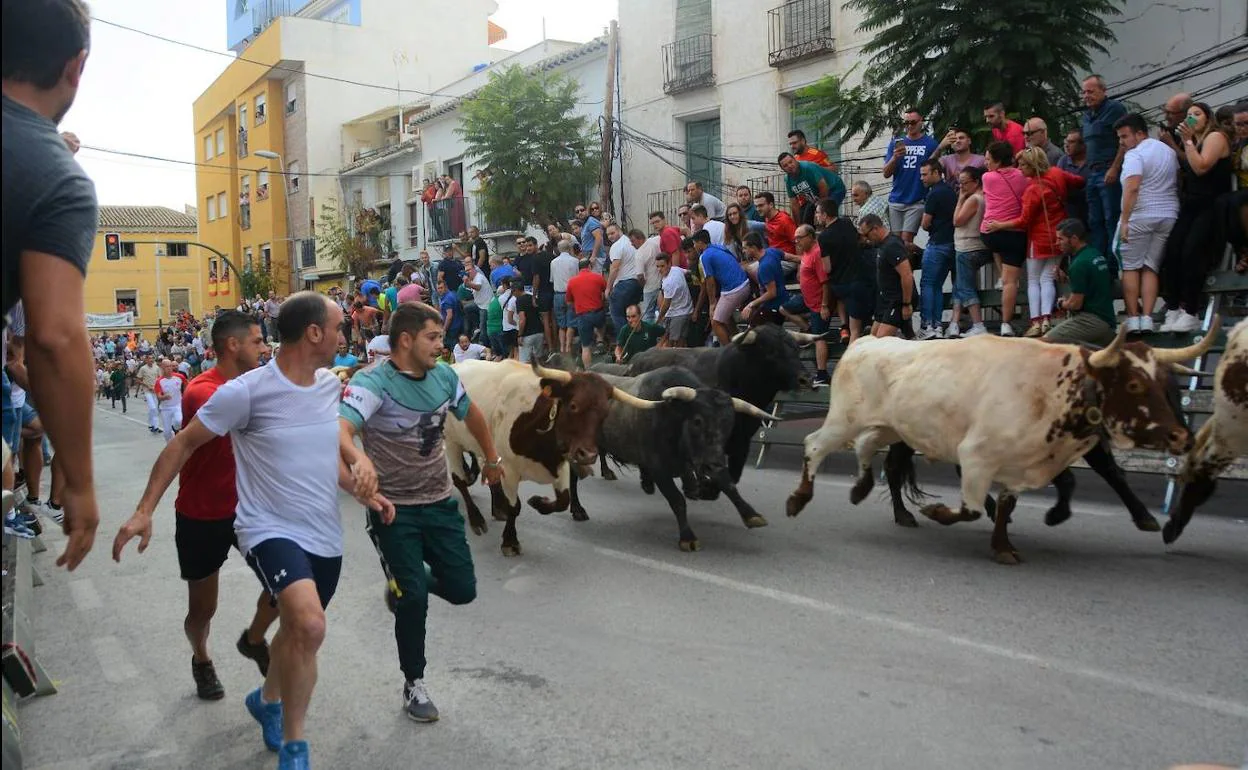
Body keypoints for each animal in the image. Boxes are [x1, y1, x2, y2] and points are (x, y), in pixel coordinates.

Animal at [446, 356, 663, 556]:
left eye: (605, 412)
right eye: (573, 405)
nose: (587, 455)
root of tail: (455, 365)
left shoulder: (560, 465)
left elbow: (563, 500)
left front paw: (538, 502)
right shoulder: (509, 468)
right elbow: (514, 507)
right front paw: (510, 541)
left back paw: (497, 509)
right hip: (451, 443)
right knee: (460, 481)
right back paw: (476, 519)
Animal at [566, 366, 778, 551]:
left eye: (729, 424)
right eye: (697, 421)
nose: (713, 466)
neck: (674, 418)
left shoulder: (708, 459)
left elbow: (728, 484)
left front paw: (751, 515)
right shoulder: (660, 468)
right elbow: (677, 500)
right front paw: (688, 538)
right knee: (573, 475)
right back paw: (578, 509)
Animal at [783, 319, 1213, 564]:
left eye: (1167, 385)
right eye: (1135, 384)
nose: (1181, 435)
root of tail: (866, 342)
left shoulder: (1018, 466)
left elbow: (1006, 506)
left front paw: (1003, 544)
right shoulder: (976, 456)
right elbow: (970, 508)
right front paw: (939, 512)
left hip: (889, 428)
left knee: (868, 449)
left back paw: (862, 489)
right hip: (845, 419)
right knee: (816, 444)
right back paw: (800, 498)